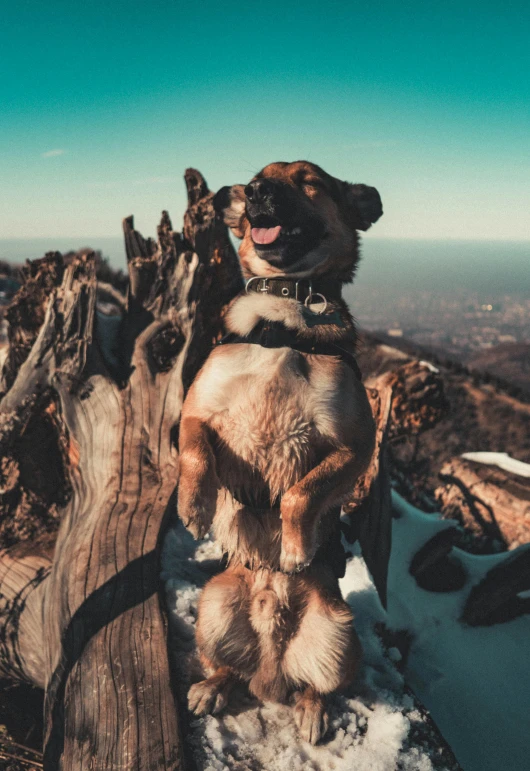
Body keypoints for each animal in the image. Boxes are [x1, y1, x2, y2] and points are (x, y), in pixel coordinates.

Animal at [176, 160, 380, 744]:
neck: (283, 314)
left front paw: (292, 548)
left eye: (310, 181)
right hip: (213, 606)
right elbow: (197, 456)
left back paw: (312, 712)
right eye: (256, 177)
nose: (256, 193)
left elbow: (299, 494)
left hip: (339, 634)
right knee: (227, 668)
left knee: (318, 686)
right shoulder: (196, 413)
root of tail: (270, 669)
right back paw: (212, 687)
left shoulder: (354, 444)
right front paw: (195, 506)